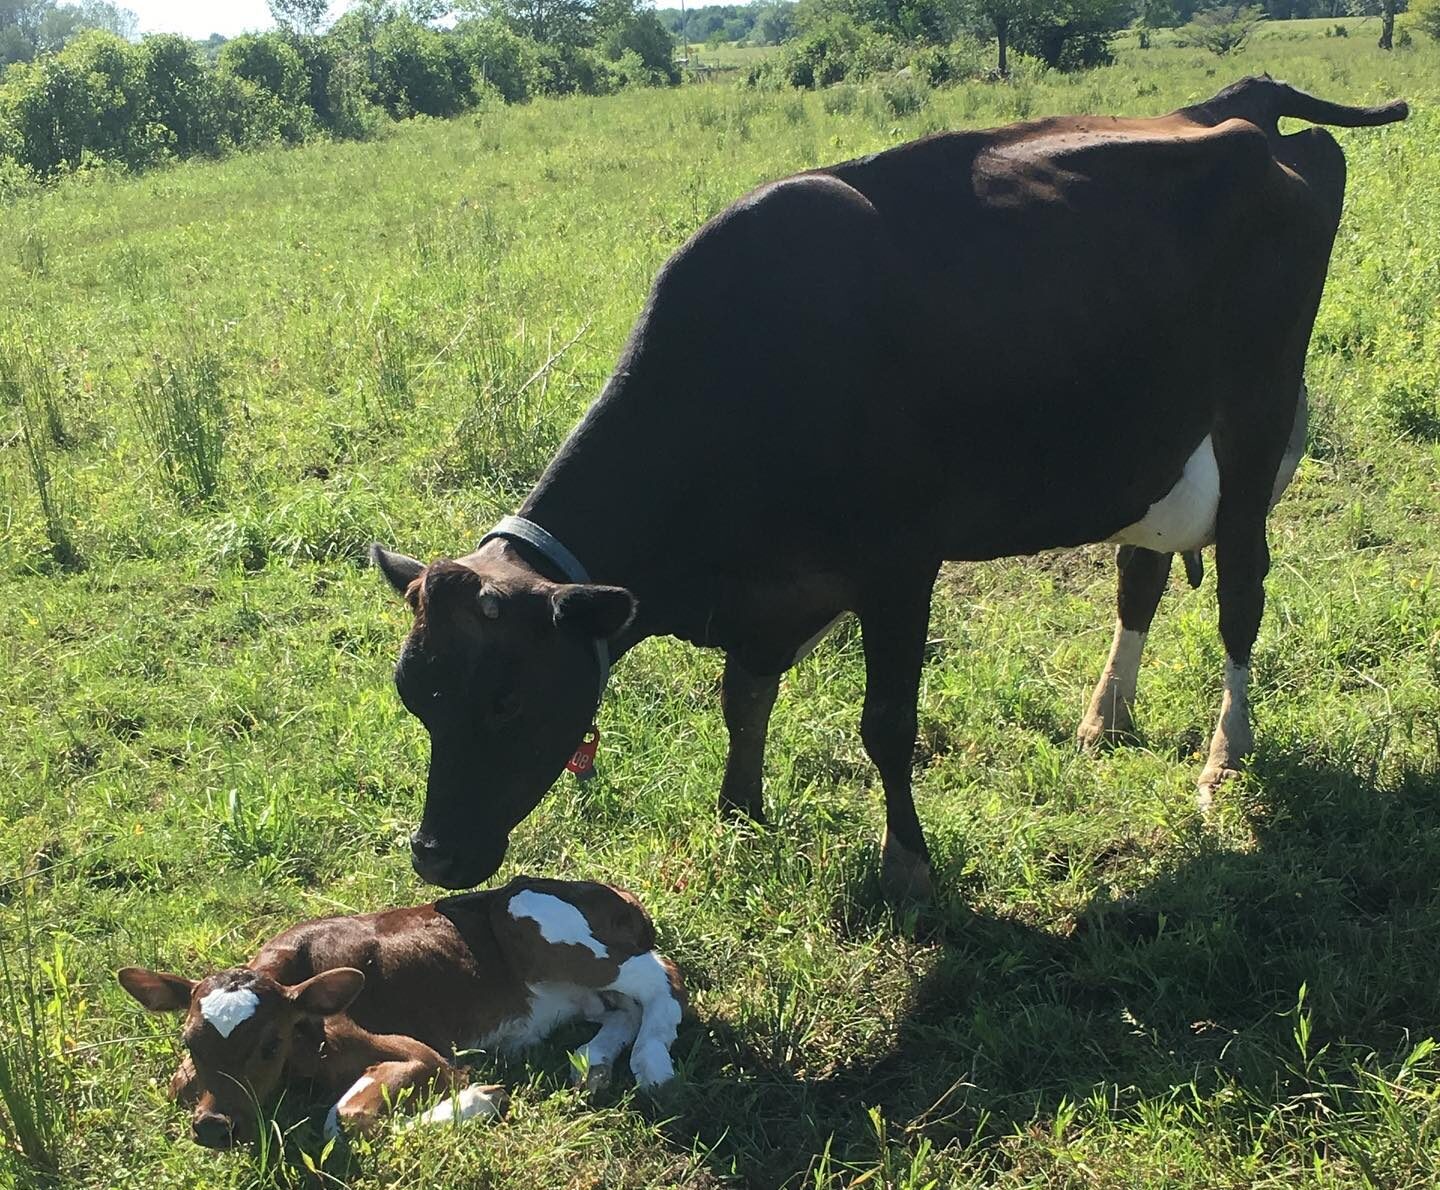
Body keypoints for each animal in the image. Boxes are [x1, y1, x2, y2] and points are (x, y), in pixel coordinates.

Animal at [117, 877, 686, 1148]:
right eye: (189, 1042)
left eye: (270, 1043)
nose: (215, 1128)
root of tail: (608, 891)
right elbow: (180, 1083)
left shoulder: (420, 1054)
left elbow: (343, 1119)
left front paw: (479, 1099)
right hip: (577, 989)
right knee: (623, 1010)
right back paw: (592, 1063)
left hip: (538, 923)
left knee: (663, 979)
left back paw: (651, 1063)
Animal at [370, 77, 1408, 901]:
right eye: (415, 698)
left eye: (507, 700)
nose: (433, 856)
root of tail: (1252, 110)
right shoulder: (771, 594)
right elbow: (743, 700)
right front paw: (740, 811)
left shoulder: (901, 566)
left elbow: (886, 725)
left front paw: (906, 862)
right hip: (1150, 448)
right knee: (1141, 579)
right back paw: (1102, 717)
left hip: (1254, 420)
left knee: (1241, 592)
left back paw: (1224, 758)